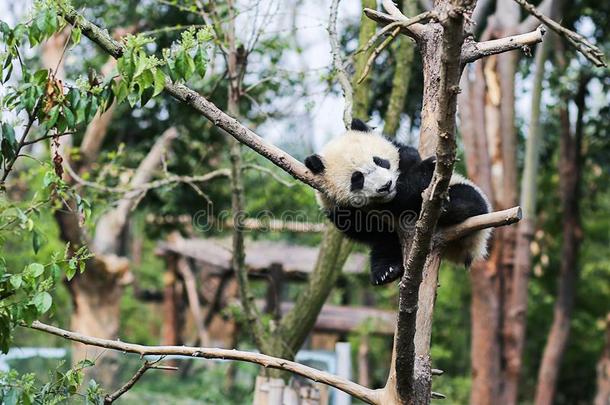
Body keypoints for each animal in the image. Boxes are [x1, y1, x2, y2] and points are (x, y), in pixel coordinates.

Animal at [304, 118, 490, 286]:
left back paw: (447, 209)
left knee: (470, 199)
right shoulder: (336, 208)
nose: (386, 186)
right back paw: (386, 271)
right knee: (385, 244)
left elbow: (411, 165)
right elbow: (360, 227)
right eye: (357, 178)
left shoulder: (403, 155)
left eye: (379, 161)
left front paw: (428, 168)